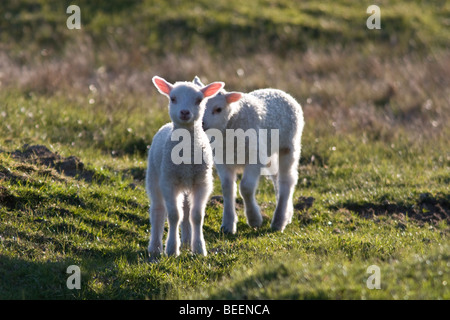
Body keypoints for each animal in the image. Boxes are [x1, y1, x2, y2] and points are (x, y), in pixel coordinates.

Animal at [147, 75, 224, 260]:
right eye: (173, 98)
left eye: (199, 100)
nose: (184, 112)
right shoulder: (168, 181)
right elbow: (174, 215)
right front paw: (171, 249)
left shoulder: (202, 182)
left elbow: (196, 216)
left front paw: (199, 249)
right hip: (154, 175)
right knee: (158, 210)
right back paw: (155, 247)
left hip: (188, 182)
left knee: (187, 210)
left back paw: (188, 241)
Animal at [195, 76, 304, 234]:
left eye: (218, 109)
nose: (201, 123)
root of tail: (280, 92)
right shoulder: (222, 159)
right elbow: (227, 188)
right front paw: (228, 225)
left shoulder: (254, 156)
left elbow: (246, 188)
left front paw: (254, 219)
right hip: (269, 151)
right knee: (277, 177)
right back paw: (287, 215)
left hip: (288, 146)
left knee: (287, 180)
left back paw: (279, 221)